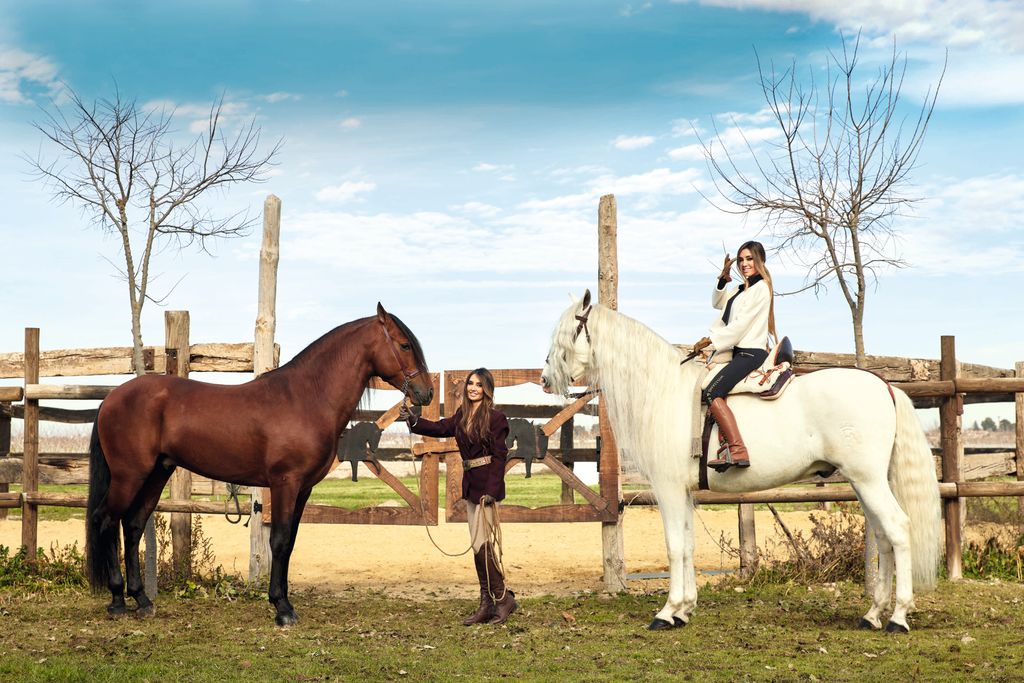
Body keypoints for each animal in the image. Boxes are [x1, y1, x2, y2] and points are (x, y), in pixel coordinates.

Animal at [87, 305, 432, 626]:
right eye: (404, 345)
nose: (425, 393)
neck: (306, 398)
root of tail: (111, 399)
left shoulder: (303, 489)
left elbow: (290, 543)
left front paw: (283, 601)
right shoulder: (285, 483)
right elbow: (277, 540)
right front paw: (282, 609)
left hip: (157, 474)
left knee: (132, 525)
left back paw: (142, 600)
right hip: (130, 475)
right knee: (106, 521)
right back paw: (117, 601)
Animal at [540, 290, 937, 634]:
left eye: (569, 331)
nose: (544, 379)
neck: (663, 390)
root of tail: (884, 386)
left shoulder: (668, 488)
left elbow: (674, 545)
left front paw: (667, 612)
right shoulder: (685, 492)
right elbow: (688, 544)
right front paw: (684, 609)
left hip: (867, 480)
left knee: (898, 529)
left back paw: (898, 617)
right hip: (863, 482)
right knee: (884, 537)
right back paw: (872, 614)